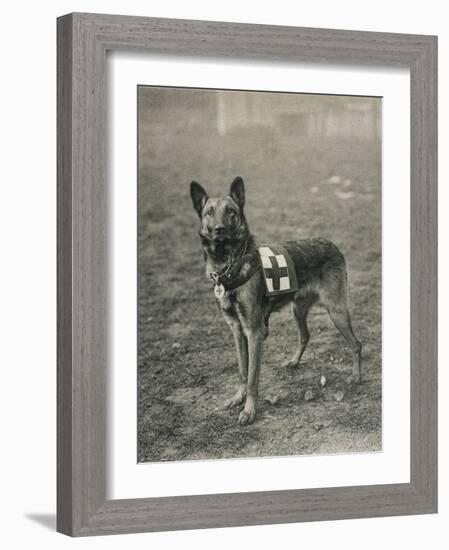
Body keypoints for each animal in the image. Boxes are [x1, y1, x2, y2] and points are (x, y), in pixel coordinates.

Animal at [189, 177, 360, 426]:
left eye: (230, 211)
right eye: (209, 212)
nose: (219, 229)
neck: (230, 265)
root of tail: (331, 244)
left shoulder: (255, 332)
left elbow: (252, 378)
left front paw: (249, 411)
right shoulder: (237, 331)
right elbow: (242, 371)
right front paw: (237, 398)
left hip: (336, 311)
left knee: (356, 344)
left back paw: (356, 376)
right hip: (298, 309)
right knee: (305, 335)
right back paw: (294, 362)